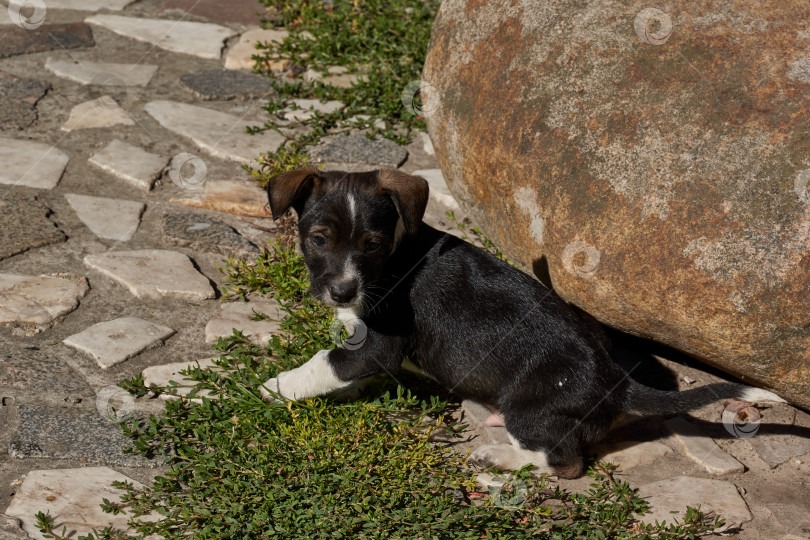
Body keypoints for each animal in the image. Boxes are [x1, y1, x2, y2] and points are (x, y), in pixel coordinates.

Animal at [258, 168, 784, 476]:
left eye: (371, 244)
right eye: (318, 239)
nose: (343, 292)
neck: (391, 261)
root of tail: (618, 384)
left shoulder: (378, 345)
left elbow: (322, 363)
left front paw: (273, 386)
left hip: (531, 411)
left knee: (562, 463)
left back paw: (499, 456)